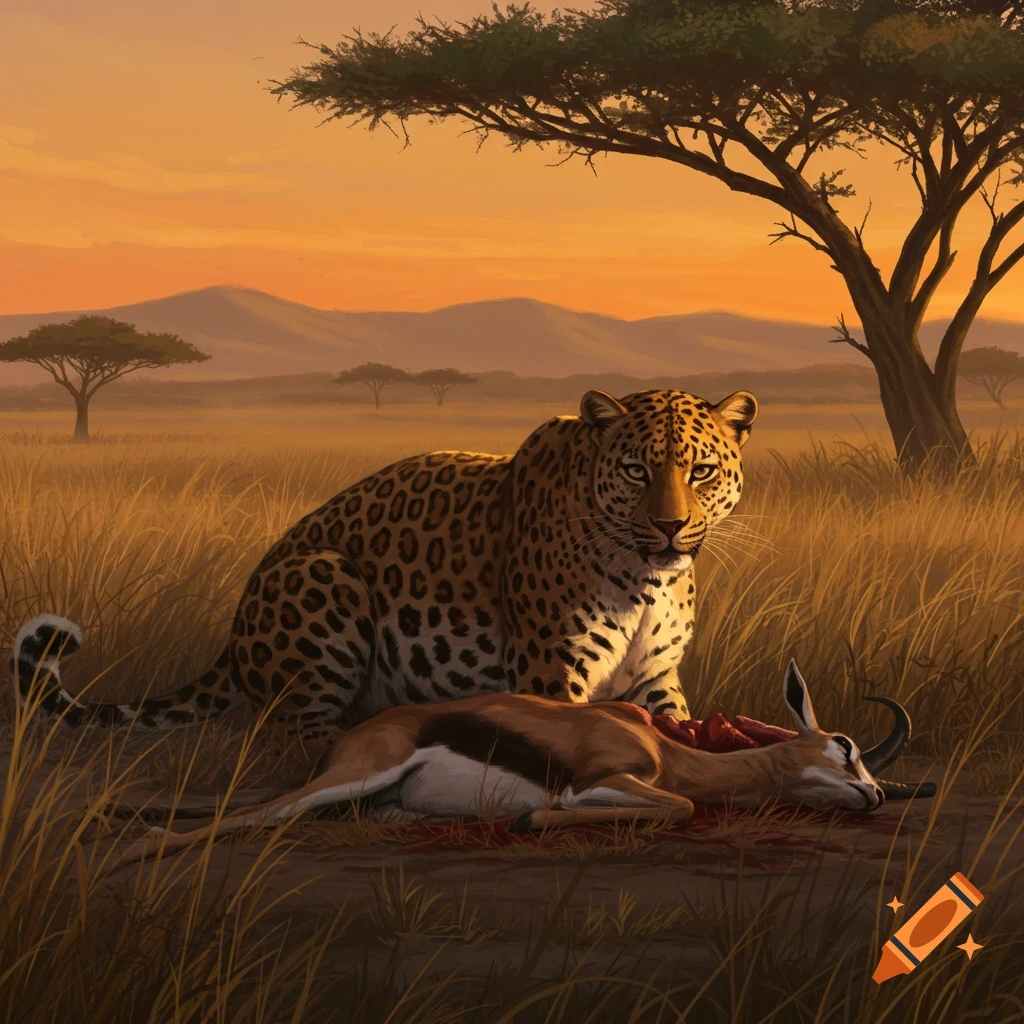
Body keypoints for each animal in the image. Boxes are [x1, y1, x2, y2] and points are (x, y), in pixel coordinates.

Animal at [11, 388, 758, 745]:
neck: (646, 580)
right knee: (286, 731)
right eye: (635, 471)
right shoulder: (553, 670)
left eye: (700, 470)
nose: (669, 526)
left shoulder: (657, 677)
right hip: (325, 579)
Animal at [110, 661, 934, 868]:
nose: (873, 797)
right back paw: (135, 845)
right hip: (352, 777)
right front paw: (537, 816)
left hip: (374, 799)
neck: (669, 751)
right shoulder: (611, 774)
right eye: (846, 746)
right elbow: (678, 806)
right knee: (255, 812)